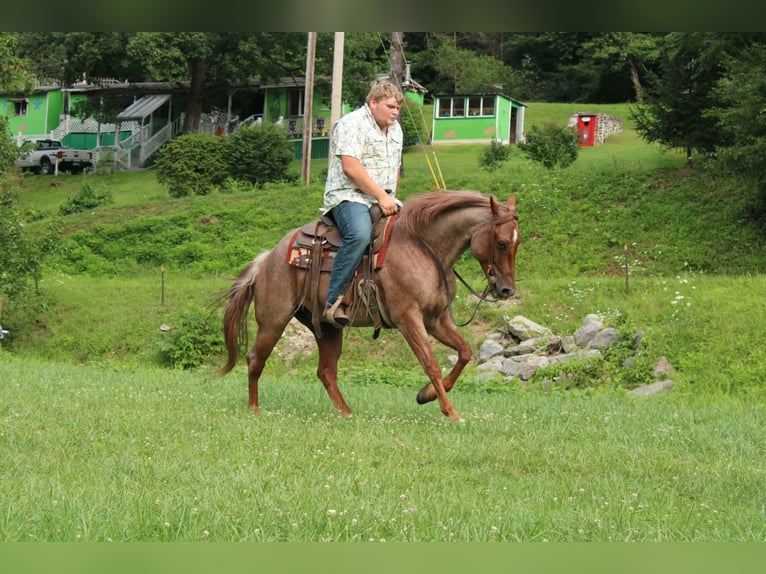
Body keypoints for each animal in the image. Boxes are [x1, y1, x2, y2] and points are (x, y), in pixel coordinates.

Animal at [220, 190, 520, 422]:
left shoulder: (437, 319)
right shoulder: (408, 319)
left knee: (326, 371)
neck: (423, 247)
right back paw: (254, 409)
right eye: (502, 243)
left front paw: (426, 394)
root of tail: (267, 258)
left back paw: (347, 413)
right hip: (274, 321)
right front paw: (450, 411)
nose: (506, 290)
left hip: (327, 328)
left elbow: (465, 352)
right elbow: (431, 364)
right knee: (255, 358)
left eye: (516, 243)